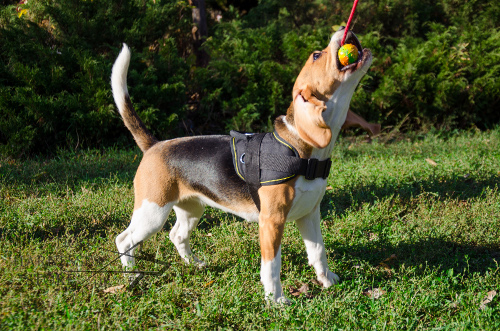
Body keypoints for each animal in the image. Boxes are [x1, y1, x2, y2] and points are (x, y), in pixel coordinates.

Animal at [112, 27, 372, 304]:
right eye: (316, 55)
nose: (344, 29)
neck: (303, 151)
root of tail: (155, 144)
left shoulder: (310, 214)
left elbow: (318, 251)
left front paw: (327, 280)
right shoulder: (271, 221)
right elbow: (272, 266)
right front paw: (276, 300)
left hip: (191, 208)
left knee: (177, 235)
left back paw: (194, 263)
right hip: (153, 211)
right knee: (124, 239)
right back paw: (132, 275)